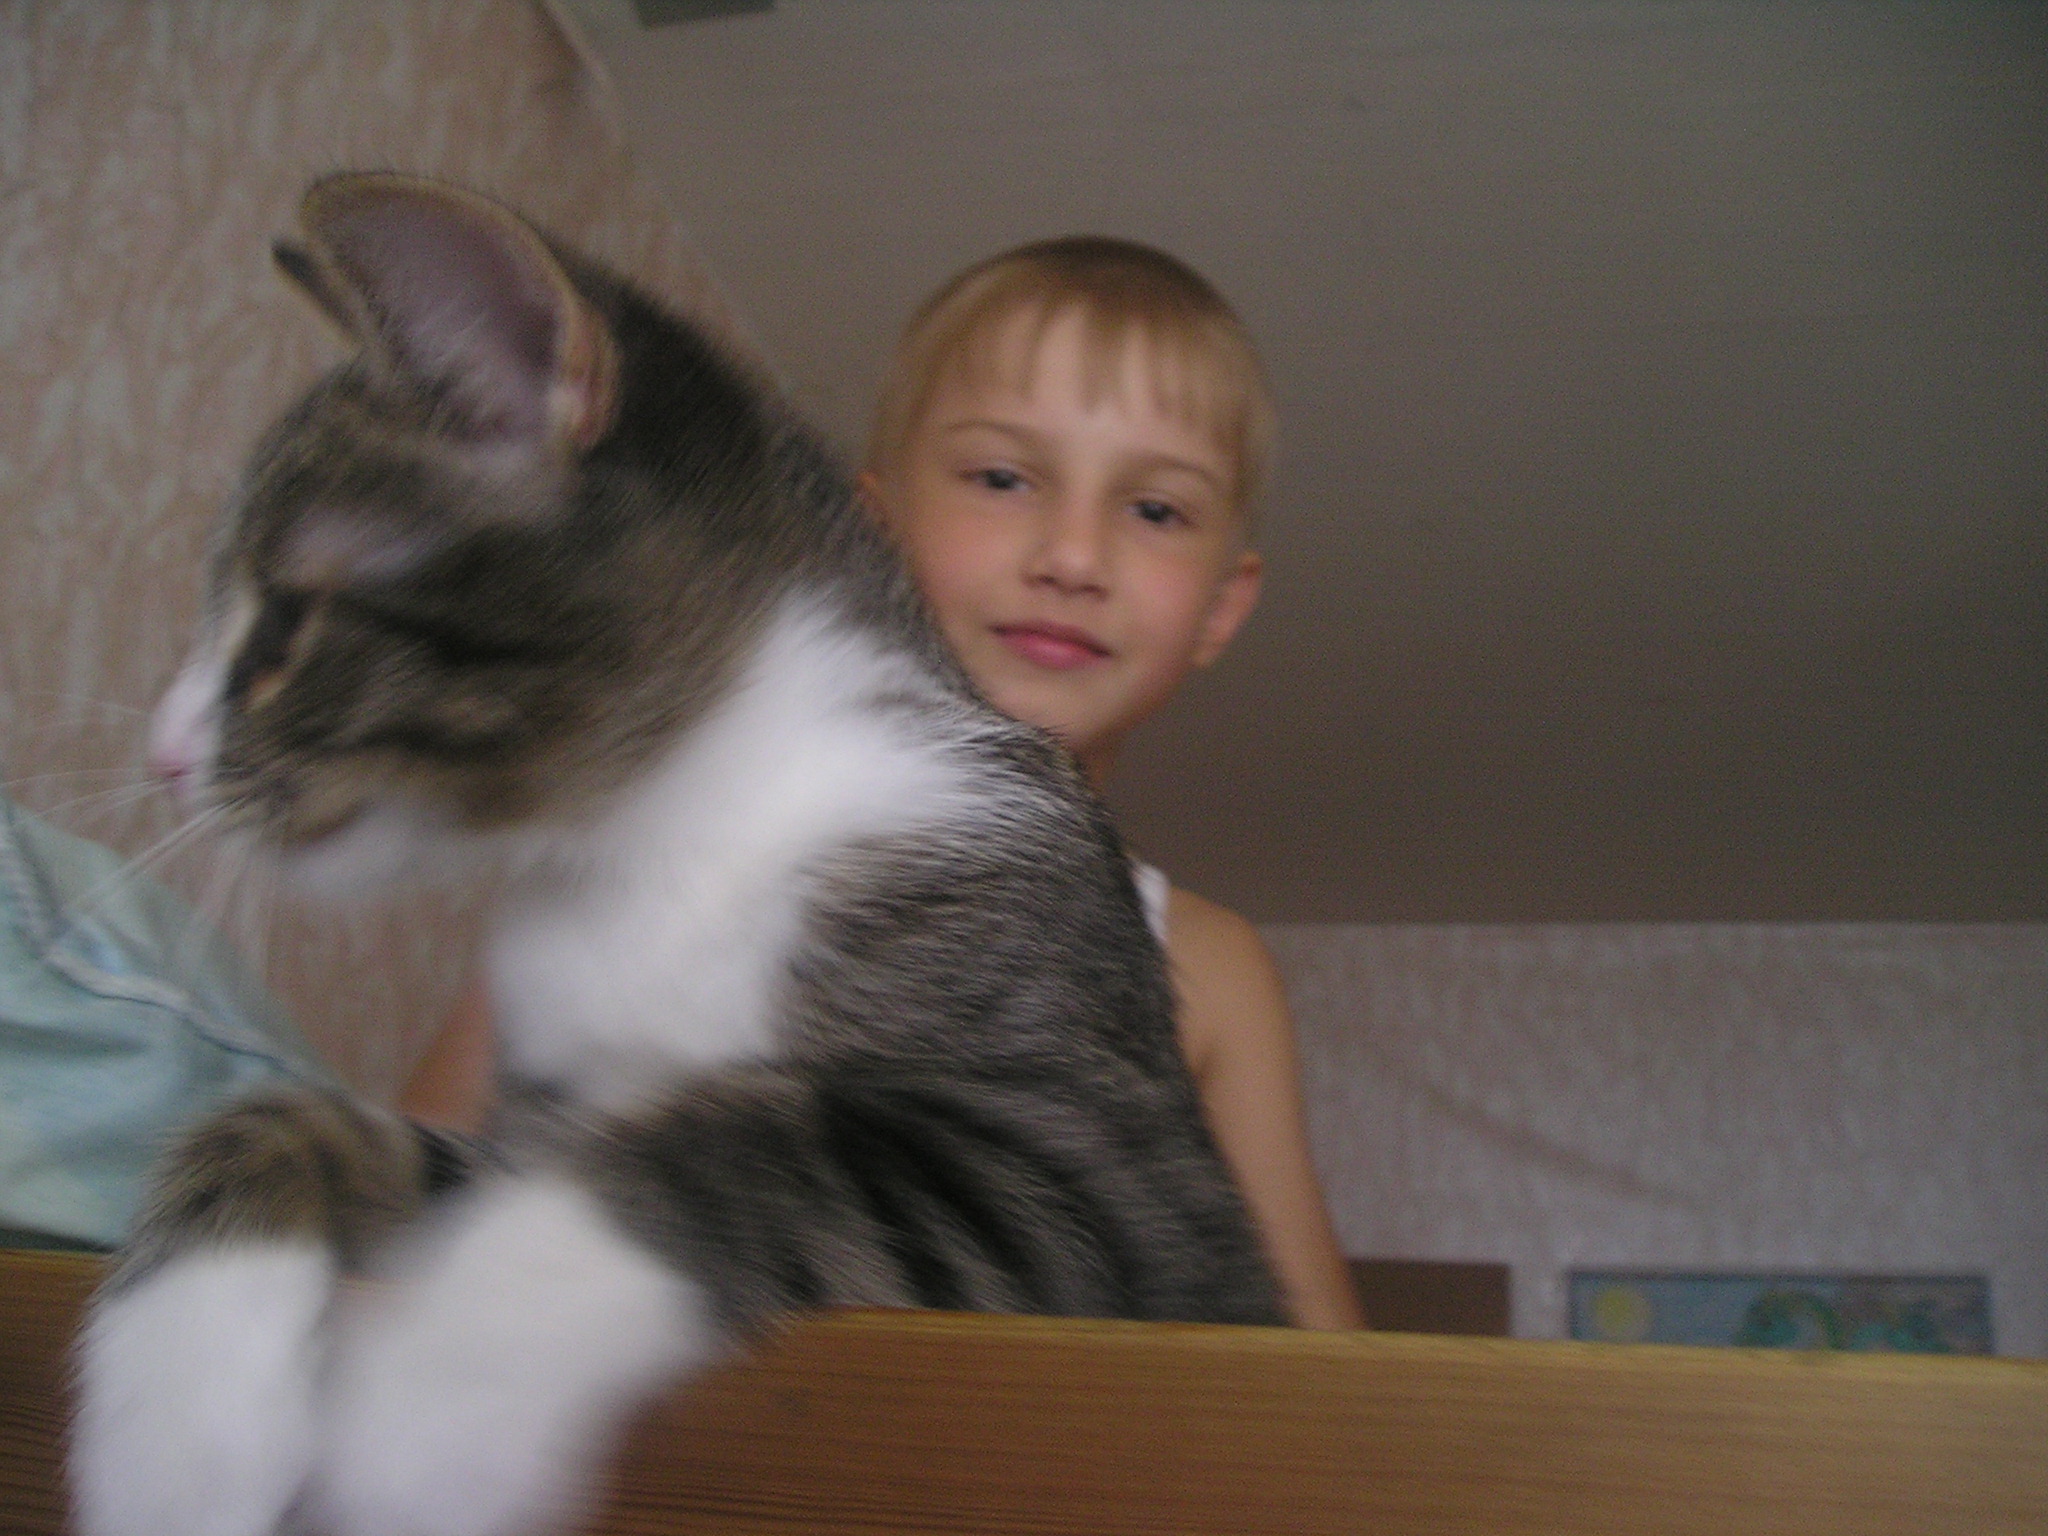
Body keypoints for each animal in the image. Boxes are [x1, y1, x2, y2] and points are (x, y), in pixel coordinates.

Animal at [69, 173, 1282, 1536]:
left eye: (283, 620)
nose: (165, 756)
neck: (661, 838)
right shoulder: (521, 1119)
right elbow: (289, 1121)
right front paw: (175, 1416)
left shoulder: (1124, 1207)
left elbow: (726, 1145)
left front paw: (422, 1408)